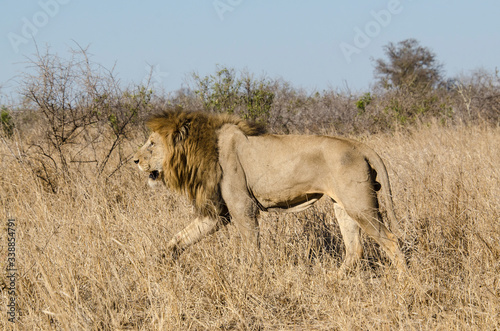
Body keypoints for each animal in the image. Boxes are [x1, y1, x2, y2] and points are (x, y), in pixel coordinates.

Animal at [134, 109, 406, 272]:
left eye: (151, 144)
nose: (134, 160)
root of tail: (358, 145)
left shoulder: (242, 207)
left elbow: (251, 246)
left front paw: (251, 275)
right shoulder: (218, 213)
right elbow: (179, 237)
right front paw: (161, 261)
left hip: (360, 206)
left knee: (391, 240)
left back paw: (403, 283)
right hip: (343, 206)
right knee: (354, 249)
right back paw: (333, 281)